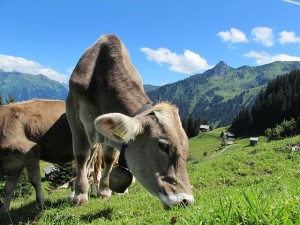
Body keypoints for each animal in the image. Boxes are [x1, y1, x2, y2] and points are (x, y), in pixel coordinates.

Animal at [66, 34, 195, 208]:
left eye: (186, 147)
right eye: (163, 146)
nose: (186, 200)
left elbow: (110, 158)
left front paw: (104, 191)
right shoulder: (73, 112)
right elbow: (81, 155)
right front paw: (80, 195)